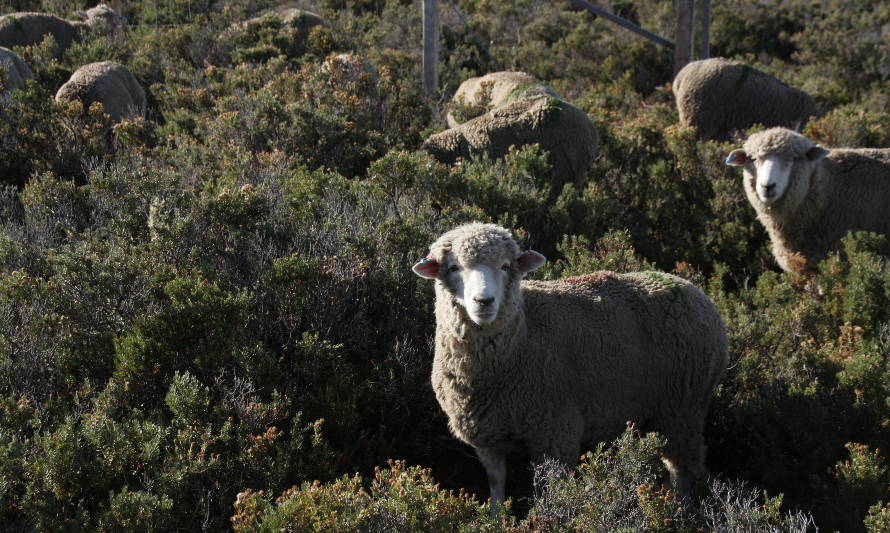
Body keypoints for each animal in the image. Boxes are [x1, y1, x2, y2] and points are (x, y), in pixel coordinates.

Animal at [412, 222, 724, 512]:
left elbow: (552, 491)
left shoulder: (556, 432)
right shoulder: (488, 438)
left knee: (685, 467)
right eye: (453, 267)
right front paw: (496, 519)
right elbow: (496, 485)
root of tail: (693, 290)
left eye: (505, 266)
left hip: (684, 406)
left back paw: (683, 510)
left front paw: (549, 518)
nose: (484, 302)